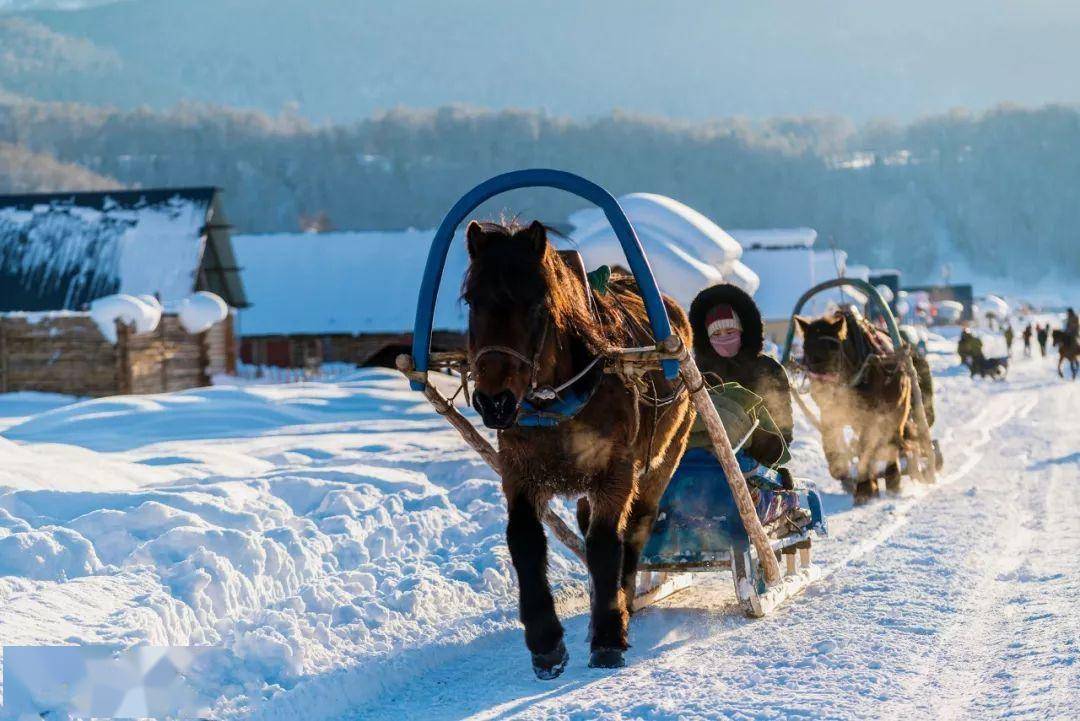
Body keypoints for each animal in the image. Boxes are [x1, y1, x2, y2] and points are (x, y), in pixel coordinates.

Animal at [462, 218, 695, 677]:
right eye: (470, 301)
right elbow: (524, 540)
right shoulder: (519, 470)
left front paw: (608, 634)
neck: (558, 404)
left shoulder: (616, 469)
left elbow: (606, 542)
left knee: (635, 528)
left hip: (664, 457)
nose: (494, 402)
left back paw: (623, 601)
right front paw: (546, 642)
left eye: (538, 305)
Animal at [790, 313, 933, 505]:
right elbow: (833, 446)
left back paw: (892, 480)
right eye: (805, 347)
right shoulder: (831, 413)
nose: (820, 386)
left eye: (834, 346)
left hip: (897, 410)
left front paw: (864, 488)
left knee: (891, 441)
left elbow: (866, 448)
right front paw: (847, 474)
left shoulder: (869, 416)